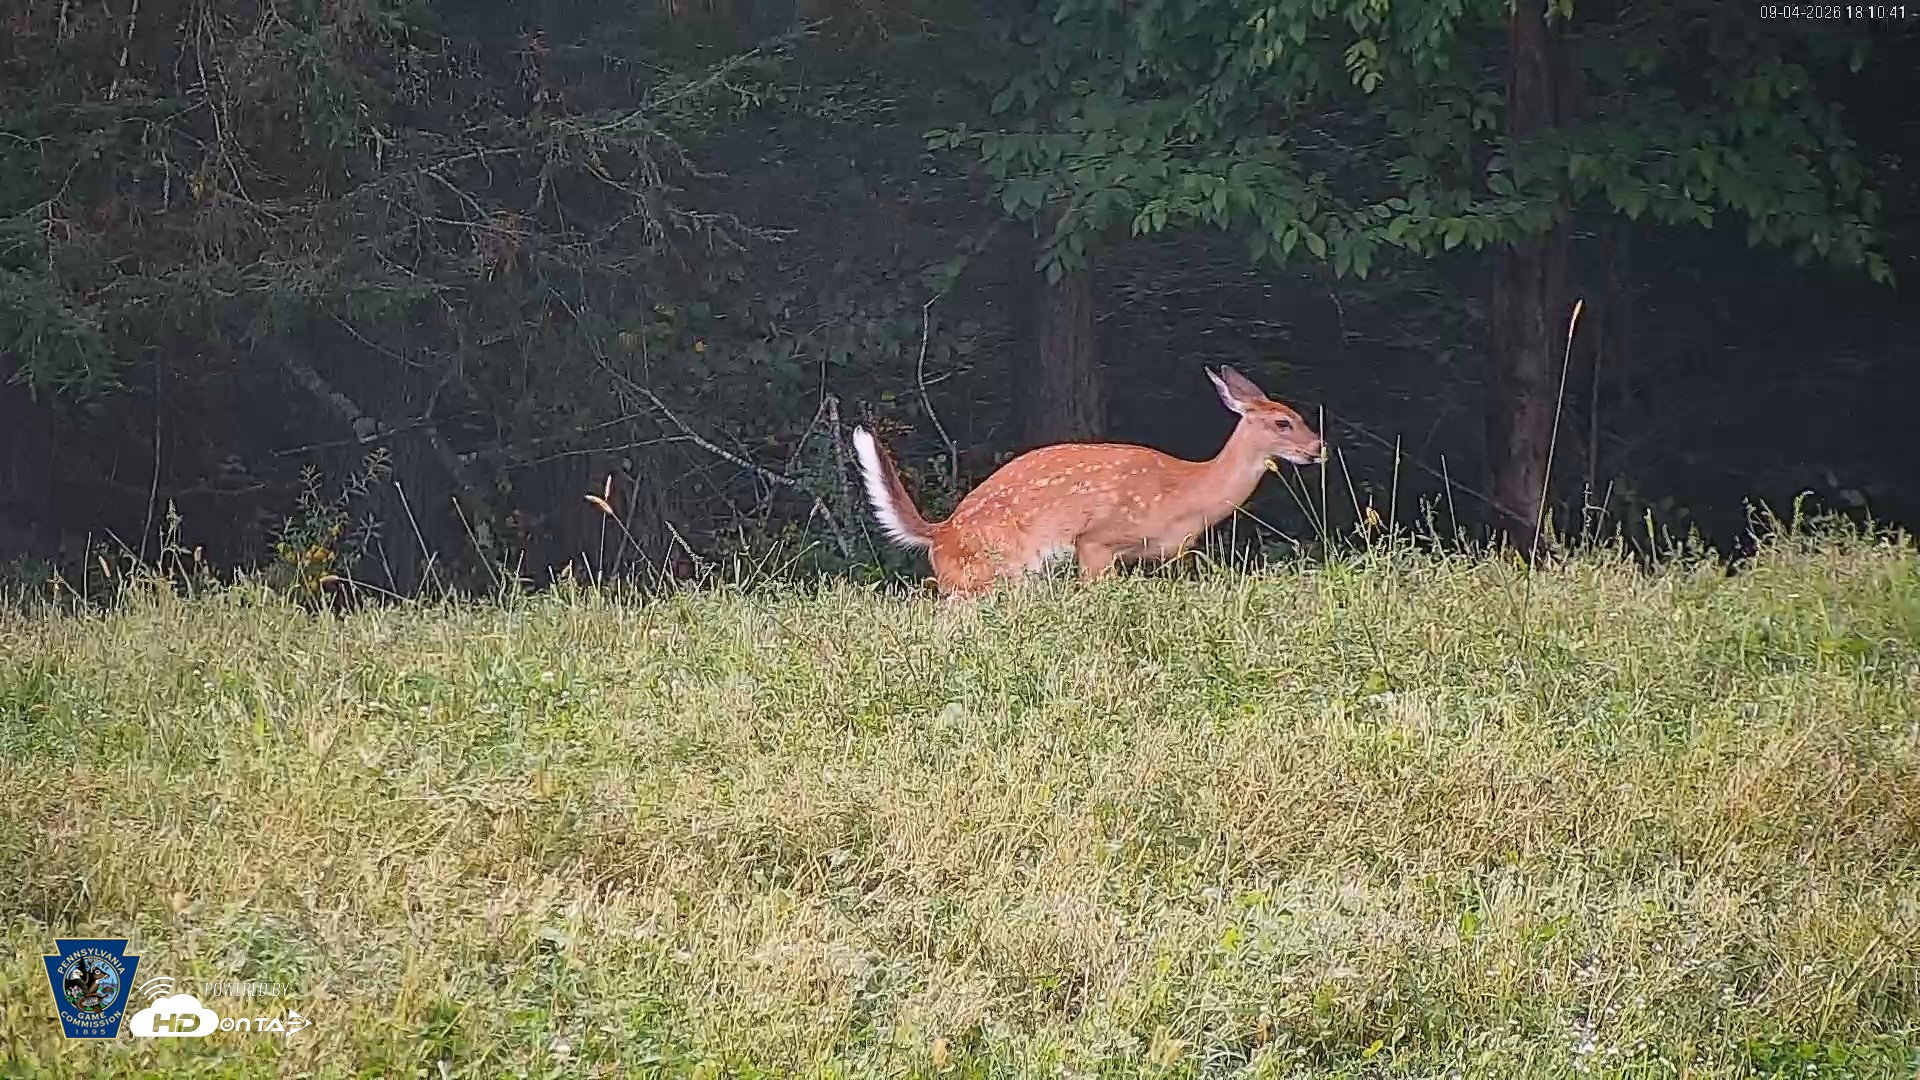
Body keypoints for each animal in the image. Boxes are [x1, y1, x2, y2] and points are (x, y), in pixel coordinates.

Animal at [851, 365, 1326, 598]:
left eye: (1299, 416)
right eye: (1283, 423)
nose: (1318, 447)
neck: (1183, 494)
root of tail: (939, 531)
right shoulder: (1098, 539)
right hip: (992, 572)